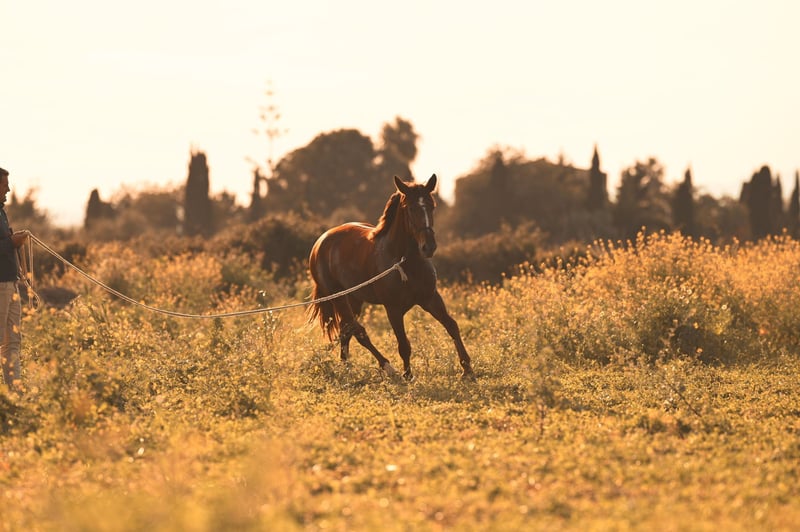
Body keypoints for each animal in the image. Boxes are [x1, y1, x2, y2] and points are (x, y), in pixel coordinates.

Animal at [308, 174, 474, 380]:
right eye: (411, 208)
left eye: (432, 205)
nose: (429, 247)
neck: (404, 262)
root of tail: (320, 242)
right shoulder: (393, 309)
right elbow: (403, 344)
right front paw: (407, 375)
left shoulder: (430, 298)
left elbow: (452, 326)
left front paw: (467, 370)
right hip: (338, 298)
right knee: (359, 331)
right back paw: (388, 368)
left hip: (354, 299)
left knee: (346, 330)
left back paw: (346, 367)